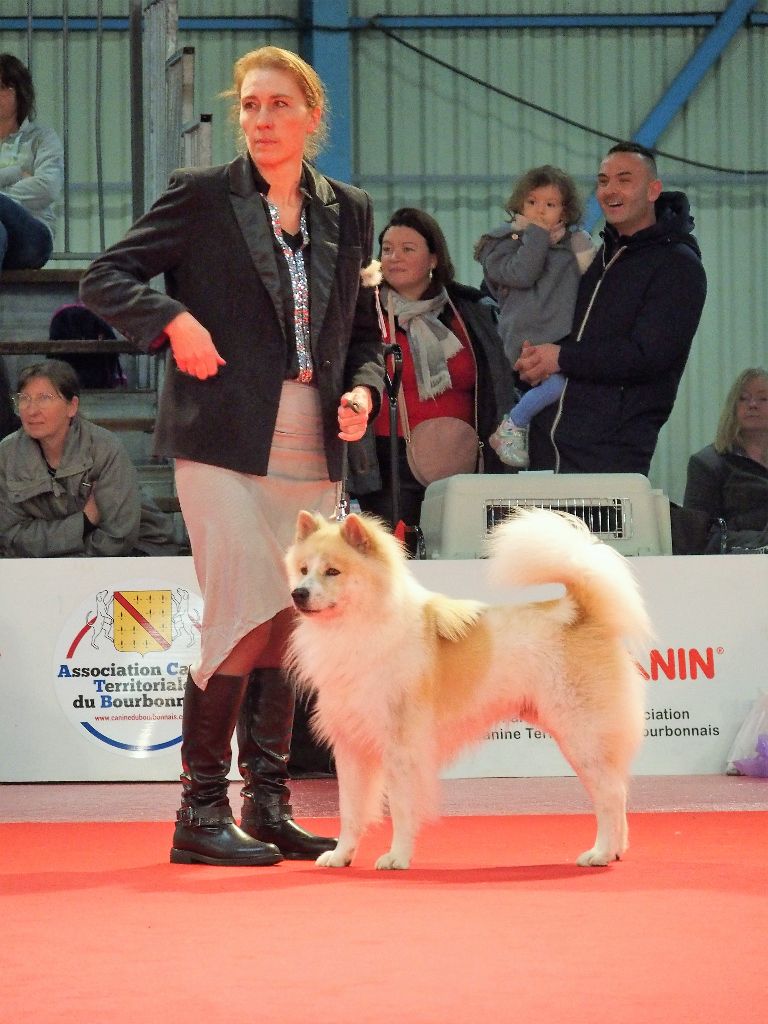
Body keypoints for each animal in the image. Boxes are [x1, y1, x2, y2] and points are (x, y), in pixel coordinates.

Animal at [286, 507, 651, 868]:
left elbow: (402, 810)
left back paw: (601, 852)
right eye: (303, 570)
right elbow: (350, 811)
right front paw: (340, 855)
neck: (360, 627)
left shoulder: (403, 749)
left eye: (333, 571)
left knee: (611, 794)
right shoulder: (350, 746)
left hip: (582, 735)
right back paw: (615, 850)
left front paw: (397, 856)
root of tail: (577, 612)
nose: (298, 593)